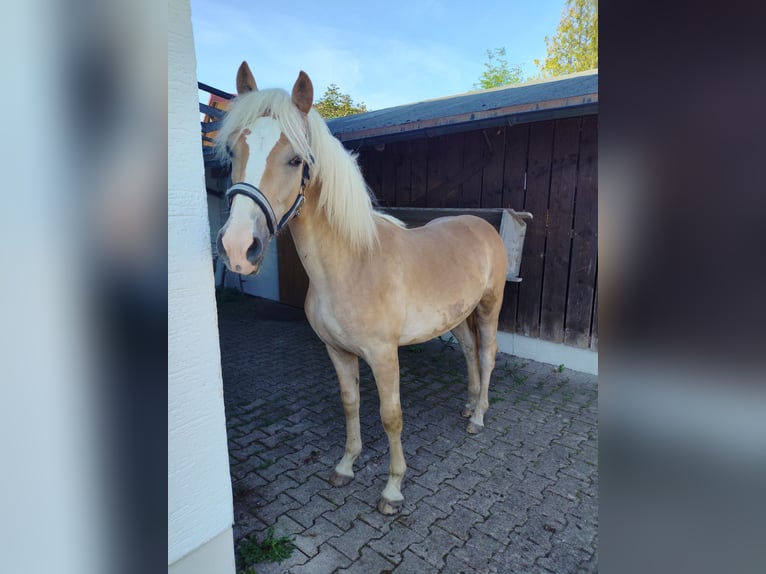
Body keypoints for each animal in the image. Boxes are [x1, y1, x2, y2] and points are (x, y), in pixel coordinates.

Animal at [216, 63, 510, 516]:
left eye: (295, 159)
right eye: (233, 151)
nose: (237, 248)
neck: (352, 265)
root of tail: (482, 226)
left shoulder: (384, 356)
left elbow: (391, 416)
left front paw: (393, 488)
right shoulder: (337, 351)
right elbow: (350, 403)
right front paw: (346, 465)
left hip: (489, 307)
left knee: (487, 353)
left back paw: (478, 417)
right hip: (457, 316)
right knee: (467, 352)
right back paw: (467, 405)